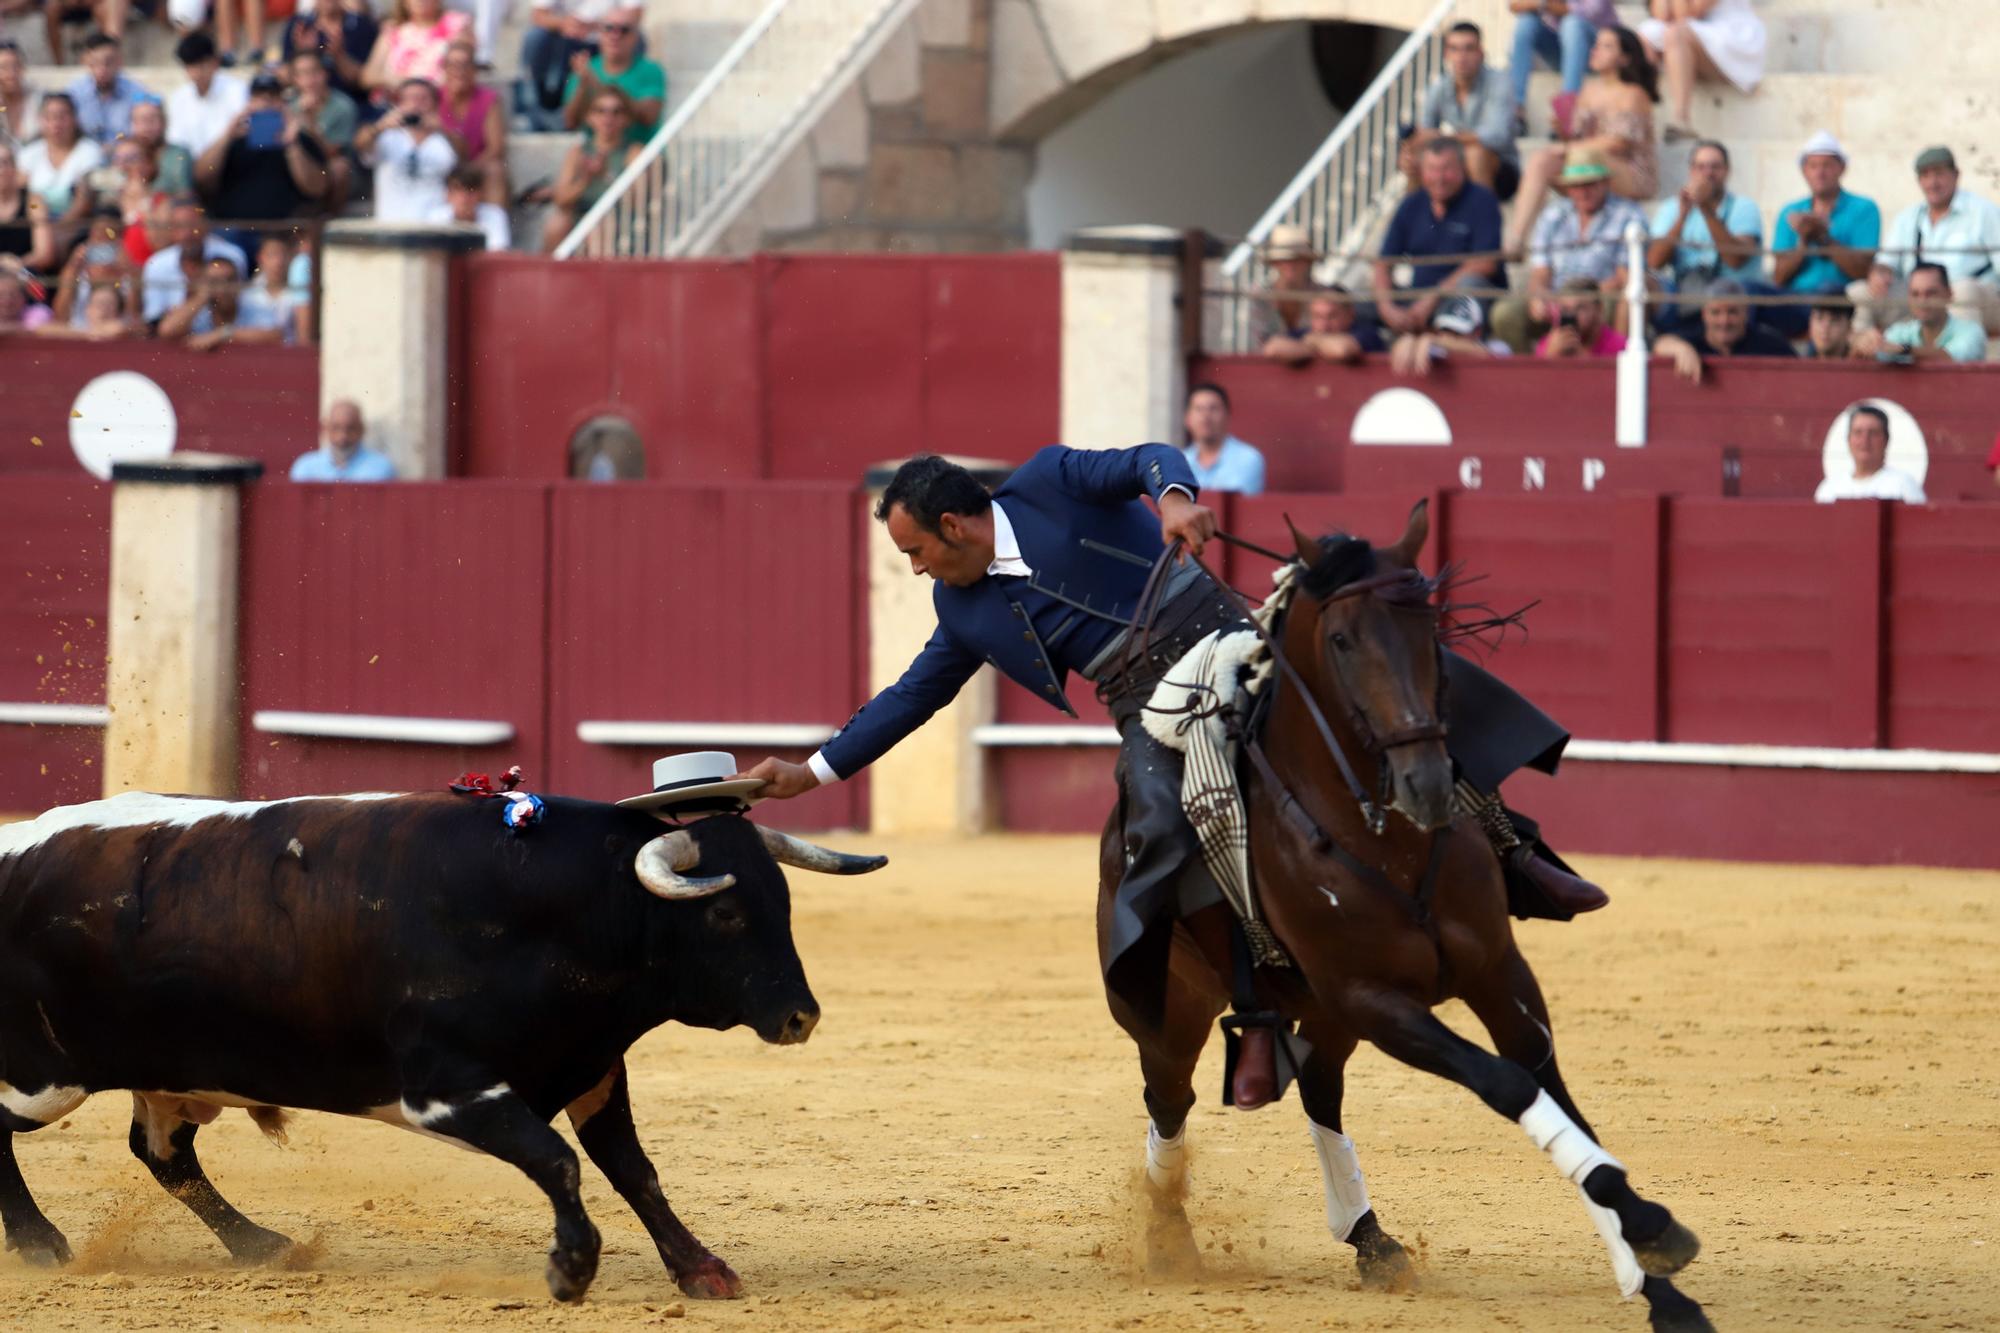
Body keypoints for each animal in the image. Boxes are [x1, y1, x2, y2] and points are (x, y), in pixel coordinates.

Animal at [0, 788, 884, 1296]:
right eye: (726, 914)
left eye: (785, 902)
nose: (801, 1016)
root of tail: (15, 846)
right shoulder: (448, 1089)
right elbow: (558, 1160)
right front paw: (571, 1268)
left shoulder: (593, 1068)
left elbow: (635, 1172)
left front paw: (701, 1268)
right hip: (43, 1076)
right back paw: (43, 1245)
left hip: (173, 1071)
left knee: (163, 1152)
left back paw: (262, 1245)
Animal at [1104, 500, 1712, 1328]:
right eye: (1340, 639)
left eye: (1429, 628)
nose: (1425, 781)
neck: (1381, 835)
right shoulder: (1378, 999)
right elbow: (1506, 1083)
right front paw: (1649, 1231)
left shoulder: (1498, 971)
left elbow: (1552, 1087)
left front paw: (1657, 1275)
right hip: (1175, 1012)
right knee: (1169, 1100)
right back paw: (1169, 1239)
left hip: (1323, 1011)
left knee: (1318, 1086)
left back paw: (1370, 1241)